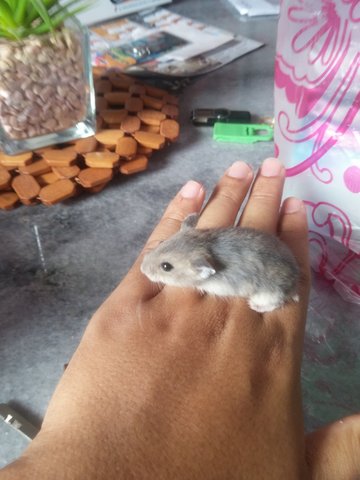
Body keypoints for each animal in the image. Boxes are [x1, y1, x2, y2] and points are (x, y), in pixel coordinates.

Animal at [141, 215, 300, 314]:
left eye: (166, 267)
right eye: (161, 242)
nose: (141, 269)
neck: (204, 245)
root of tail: (294, 285)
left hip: (268, 295)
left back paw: (254, 306)